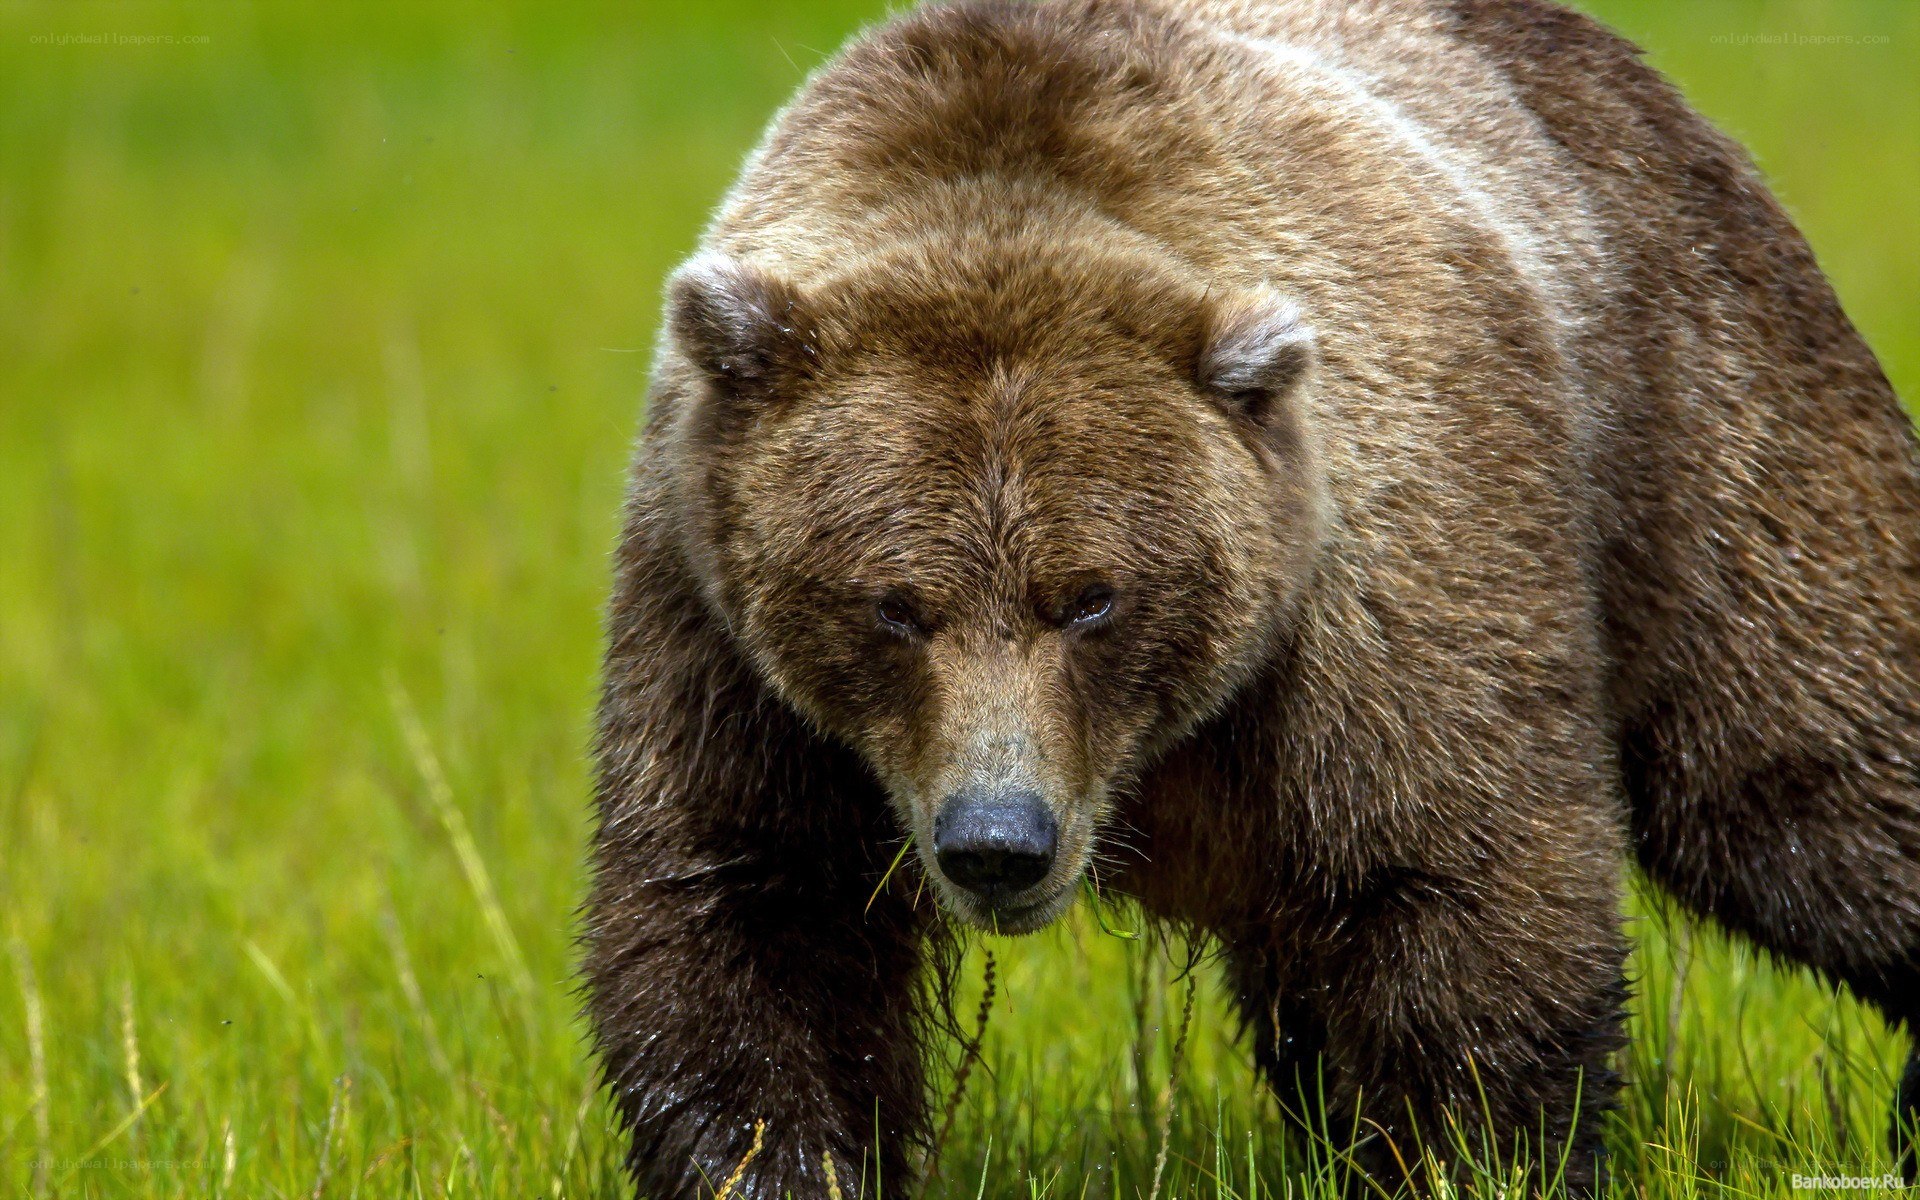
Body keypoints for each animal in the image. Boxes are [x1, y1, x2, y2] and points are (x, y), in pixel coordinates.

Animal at [583, 0, 1920, 1195]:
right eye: (894, 605)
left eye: (1092, 598)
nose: (999, 842)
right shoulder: (717, 630)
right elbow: (747, 920)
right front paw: (771, 1163)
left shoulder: (1381, 584)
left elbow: (1463, 890)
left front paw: (1470, 1156)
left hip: (1694, 410)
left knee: (1808, 762)